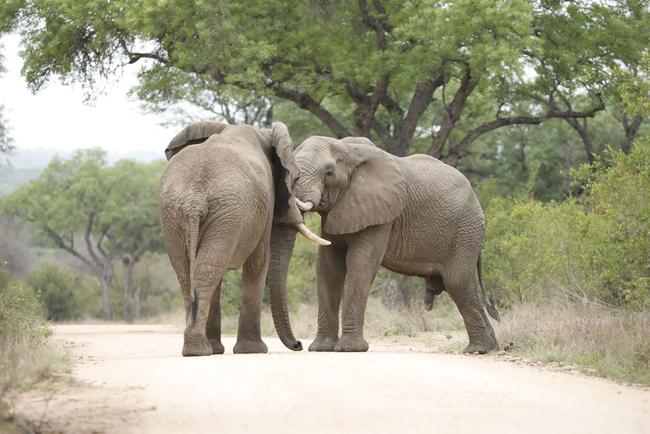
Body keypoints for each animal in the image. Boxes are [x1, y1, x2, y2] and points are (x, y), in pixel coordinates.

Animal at [159, 121, 326, 356]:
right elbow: (258, 262)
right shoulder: (265, 201)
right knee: (207, 270)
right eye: (297, 179)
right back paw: (199, 349)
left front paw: (221, 349)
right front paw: (253, 350)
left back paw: (196, 349)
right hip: (224, 212)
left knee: (191, 272)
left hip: (178, 212)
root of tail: (194, 198)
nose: (299, 344)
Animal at [286, 136, 498, 352]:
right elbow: (328, 267)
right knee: (467, 287)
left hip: (465, 231)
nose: (298, 345)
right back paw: (491, 347)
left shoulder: (382, 211)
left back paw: (477, 349)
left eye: (329, 173)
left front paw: (350, 349)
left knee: (458, 283)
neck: (348, 148)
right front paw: (321, 348)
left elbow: (360, 263)